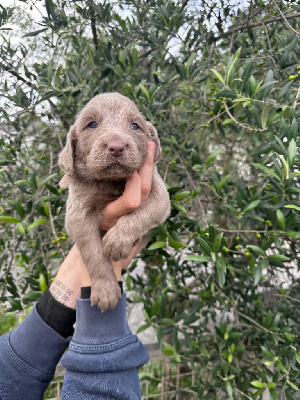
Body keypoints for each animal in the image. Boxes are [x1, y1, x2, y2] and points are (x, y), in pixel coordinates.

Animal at [59, 92, 171, 310]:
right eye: (91, 124)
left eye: (135, 126)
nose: (116, 147)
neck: (112, 181)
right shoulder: (78, 214)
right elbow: (93, 252)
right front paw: (106, 289)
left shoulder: (159, 195)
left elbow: (142, 214)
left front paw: (117, 240)